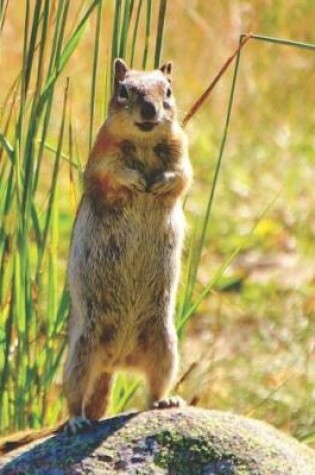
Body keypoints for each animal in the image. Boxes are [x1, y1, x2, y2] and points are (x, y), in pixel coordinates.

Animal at [0, 57, 193, 452]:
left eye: (167, 90)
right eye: (123, 91)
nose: (149, 110)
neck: (144, 141)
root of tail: (114, 362)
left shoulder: (182, 153)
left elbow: (181, 177)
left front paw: (159, 182)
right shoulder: (101, 156)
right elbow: (110, 174)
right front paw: (136, 181)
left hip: (165, 348)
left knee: (153, 389)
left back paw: (167, 401)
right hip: (80, 355)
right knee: (75, 396)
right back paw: (76, 422)